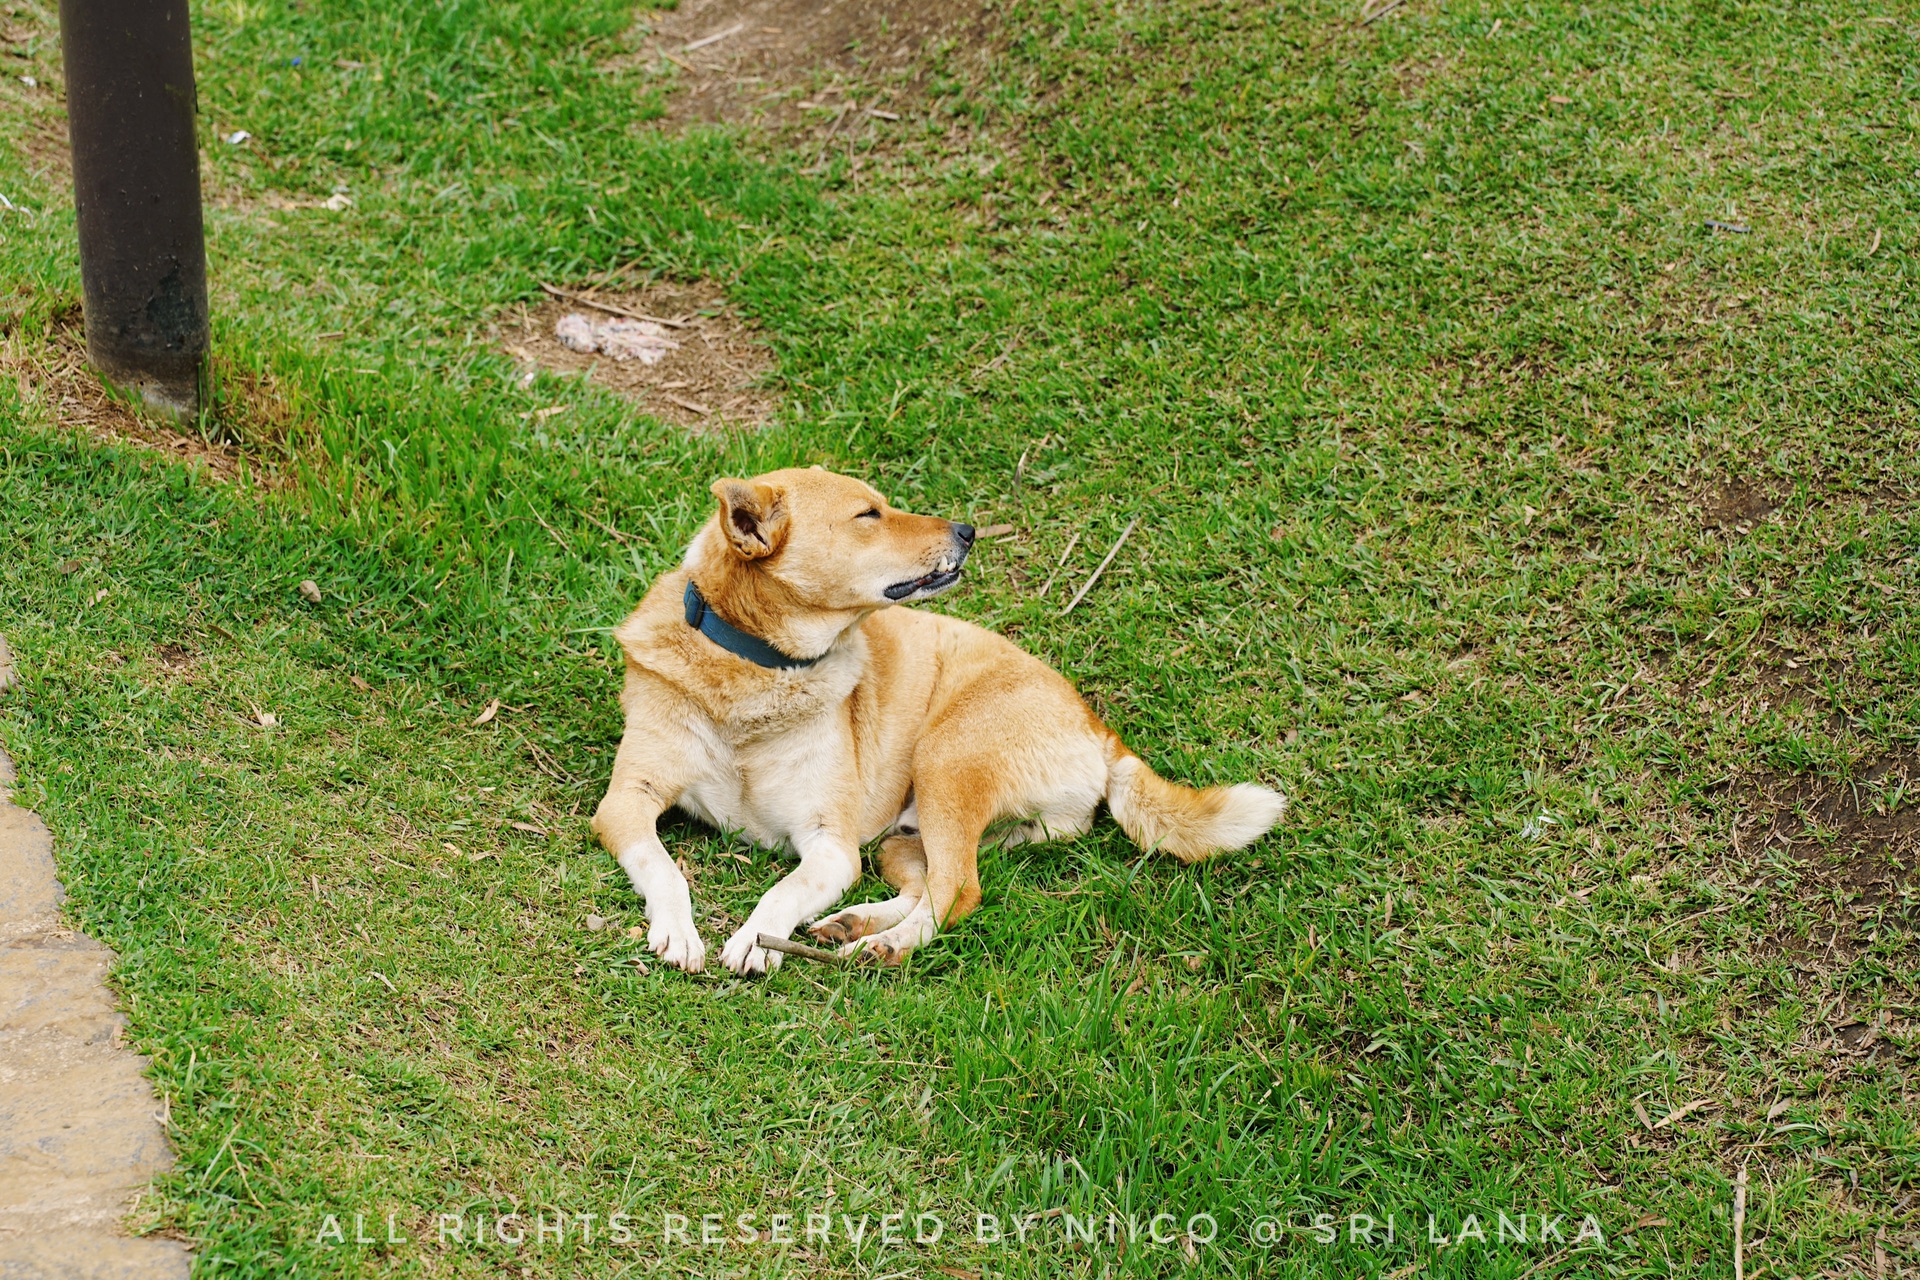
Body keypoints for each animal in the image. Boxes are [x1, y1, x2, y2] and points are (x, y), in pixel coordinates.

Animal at [595, 466, 1290, 974]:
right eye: (868, 514)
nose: (969, 529)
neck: (756, 668)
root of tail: (1097, 728)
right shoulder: (626, 802)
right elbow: (664, 868)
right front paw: (678, 932)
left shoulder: (830, 845)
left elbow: (782, 891)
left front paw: (755, 936)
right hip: (908, 834)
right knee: (931, 885)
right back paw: (855, 924)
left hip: (945, 761)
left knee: (960, 891)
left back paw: (884, 945)